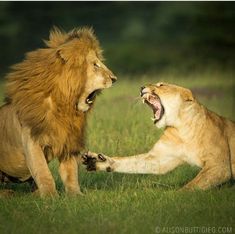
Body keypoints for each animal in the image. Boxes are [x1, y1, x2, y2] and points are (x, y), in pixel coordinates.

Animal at [0, 26, 117, 197]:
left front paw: (76, 196)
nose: (114, 78)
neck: (64, 106)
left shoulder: (67, 141)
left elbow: (70, 173)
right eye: (95, 65)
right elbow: (43, 172)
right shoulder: (32, 142)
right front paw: (50, 197)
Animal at [83, 82, 234, 190]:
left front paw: (176, 197)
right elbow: (131, 162)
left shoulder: (220, 165)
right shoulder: (160, 158)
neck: (181, 128)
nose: (141, 87)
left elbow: (190, 187)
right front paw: (97, 161)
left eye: (161, 85)